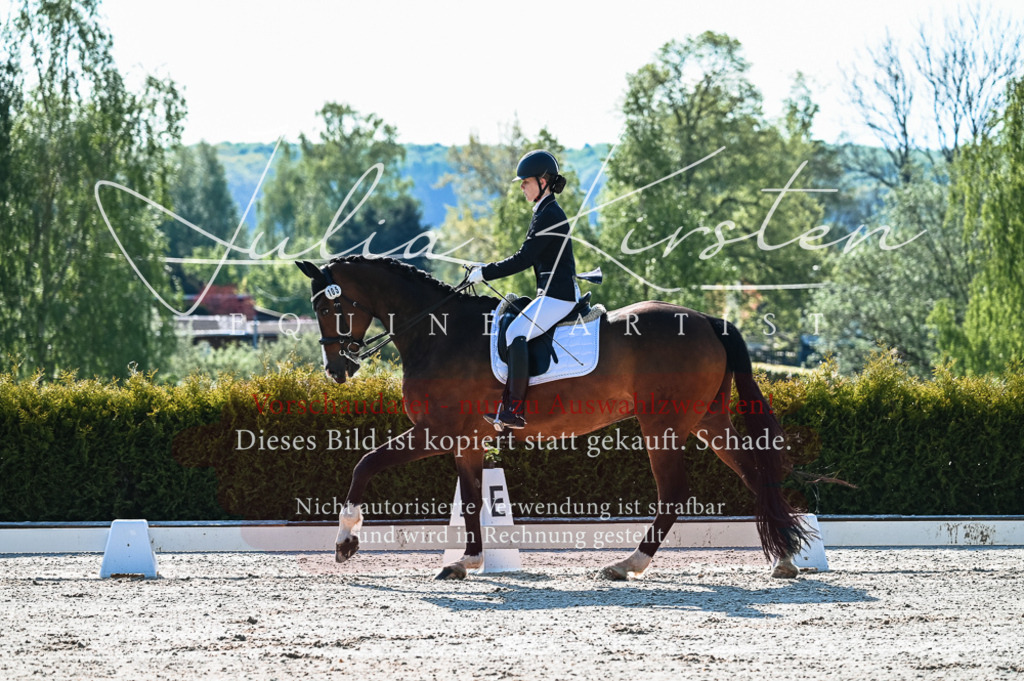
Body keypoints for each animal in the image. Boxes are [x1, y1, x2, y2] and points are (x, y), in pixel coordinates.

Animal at [296, 255, 811, 580]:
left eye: (329, 305)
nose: (337, 369)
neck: (438, 332)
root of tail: (707, 320)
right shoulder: (467, 440)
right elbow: (471, 502)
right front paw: (466, 562)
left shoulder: (435, 432)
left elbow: (365, 463)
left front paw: (345, 542)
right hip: (707, 420)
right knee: (752, 472)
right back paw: (784, 558)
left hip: (663, 426)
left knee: (674, 494)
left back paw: (628, 565)